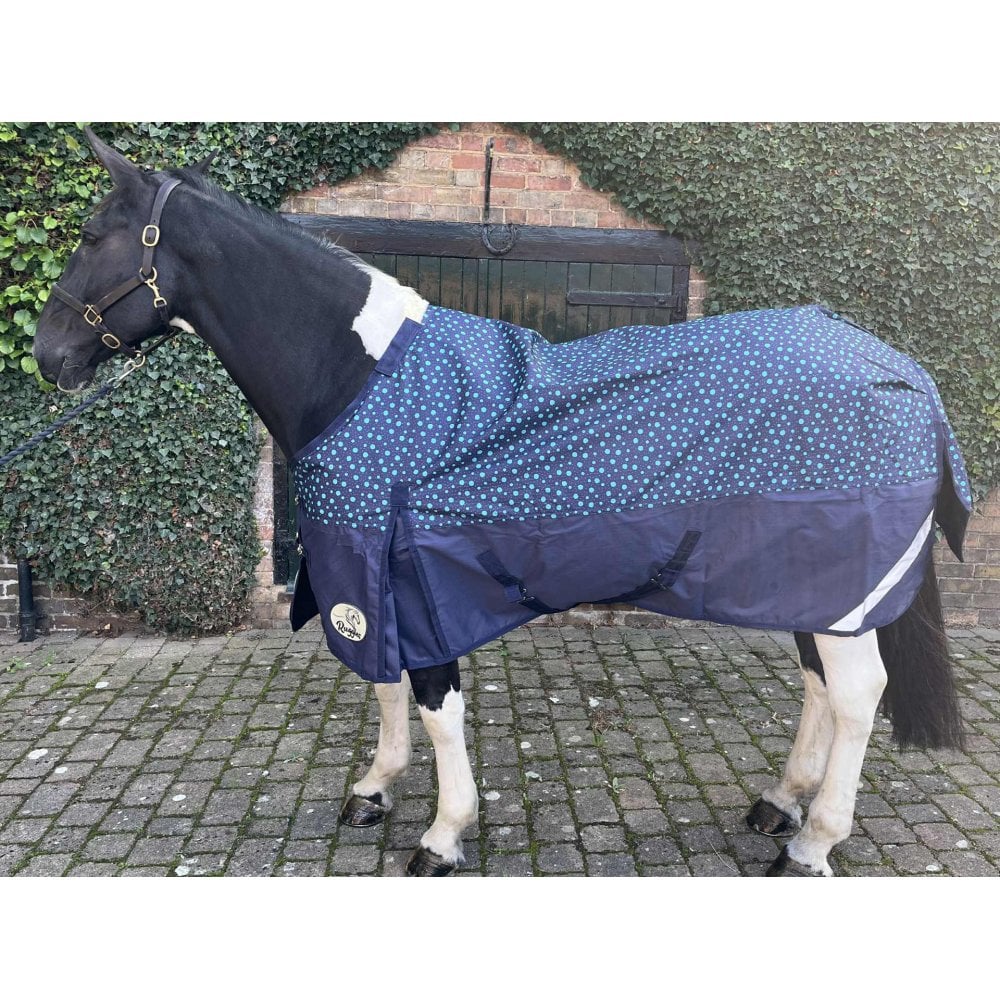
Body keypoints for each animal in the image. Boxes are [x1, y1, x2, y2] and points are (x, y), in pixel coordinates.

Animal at [33, 129, 972, 877]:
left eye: (91, 234)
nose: (48, 355)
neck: (359, 378)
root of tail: (902, 371)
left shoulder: (412, 580)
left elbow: (435, 705)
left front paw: (443, 835)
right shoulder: (361, 572)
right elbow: (383, 685)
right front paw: (375, 790)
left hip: (838, 578)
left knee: (857, 694)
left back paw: (813, 842)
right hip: (806, 583)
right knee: (819, 682)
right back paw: (780, 802)